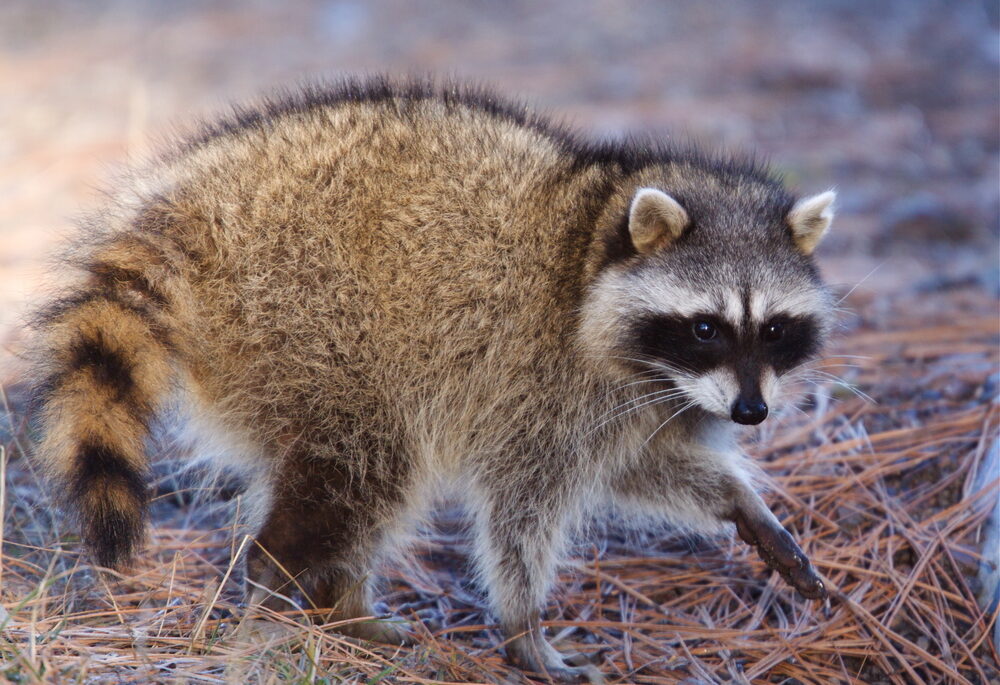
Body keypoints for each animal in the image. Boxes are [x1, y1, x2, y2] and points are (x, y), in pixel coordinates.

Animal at [26, 78, 834, 682]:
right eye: (706, 327)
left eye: (774, 329)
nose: (753, 412)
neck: (595, 235)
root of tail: (183, 211)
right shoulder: (547, 382)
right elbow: (521, 507)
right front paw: (524, 624)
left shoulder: (638, 402)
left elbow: (643, 465)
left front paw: (743, 505)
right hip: (302, 319)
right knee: (365, 465)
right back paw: (284, 587)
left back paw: (340, 601)